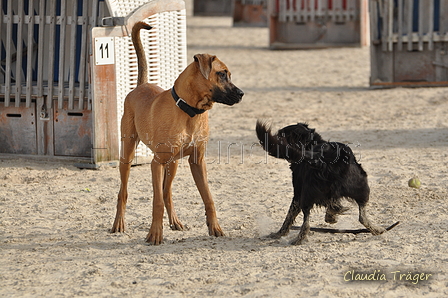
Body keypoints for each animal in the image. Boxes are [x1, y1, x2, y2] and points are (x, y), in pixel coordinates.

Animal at [111, 21, 243, 244]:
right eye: (222, 74)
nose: (241, 94)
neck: (190, 112)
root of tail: (140, 86)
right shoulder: (156, 164)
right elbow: (156, 201)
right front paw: (155, 233)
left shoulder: (197, 162)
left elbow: (208, 198)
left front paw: (215, 227)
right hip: (127, 154)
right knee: (124, 192)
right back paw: (119, 223)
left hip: (172, 164)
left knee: (167, 193)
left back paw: (174, 221)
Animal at [256, 121, 384, 244]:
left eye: (280, 136)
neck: (310, 144)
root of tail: (320, 157)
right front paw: (332, 215)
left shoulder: (298, 192)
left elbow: (289, 216)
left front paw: (279, 233)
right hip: (360, 186)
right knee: (362, 216)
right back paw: (376, 230)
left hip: (308, 194)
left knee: (306, 223)